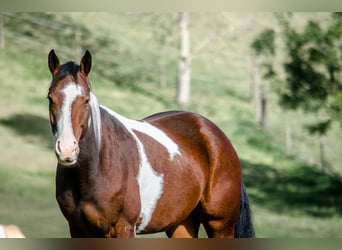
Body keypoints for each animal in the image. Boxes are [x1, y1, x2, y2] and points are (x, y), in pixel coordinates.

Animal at [46, 49, 254, 238]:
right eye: (50, 97)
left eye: (86, 99)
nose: (67, 150)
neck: (97, 168)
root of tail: (216, 135)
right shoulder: (77, 230)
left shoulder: (124, 228)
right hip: (181, 224)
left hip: (220, 226)